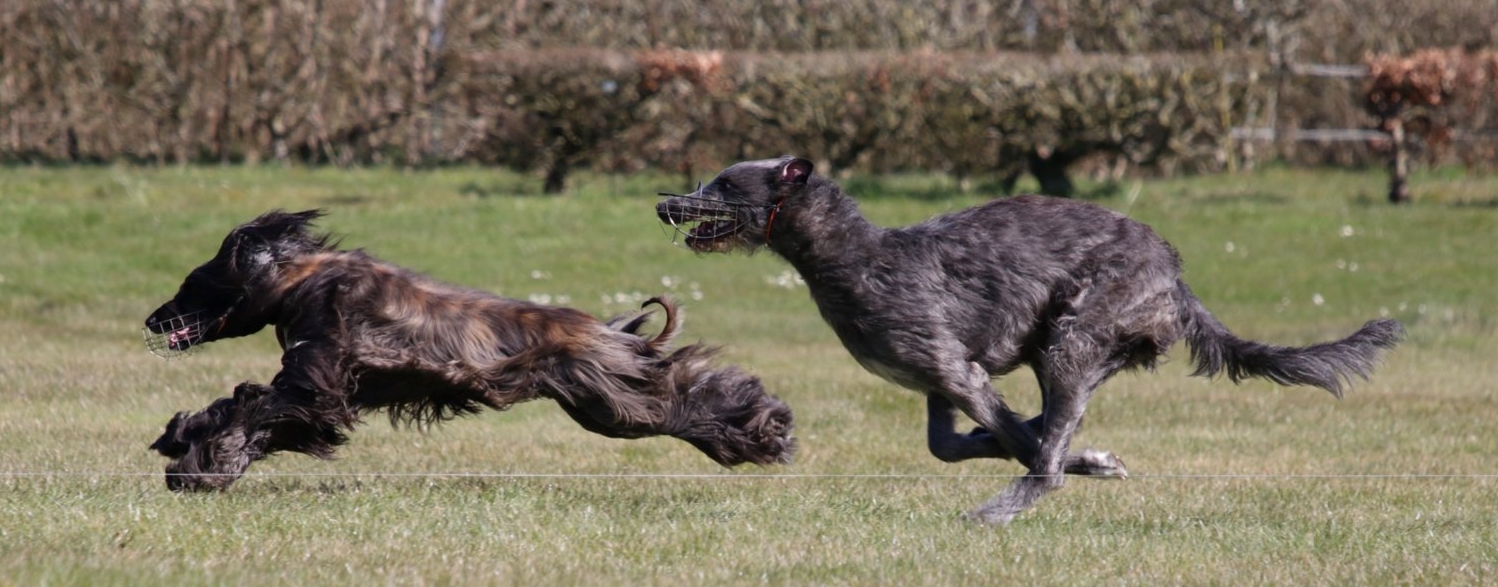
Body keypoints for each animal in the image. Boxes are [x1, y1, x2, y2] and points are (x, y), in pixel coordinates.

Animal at [144, 211, 790, 491]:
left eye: (191, 284)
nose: (152, 320)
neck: (300, 281)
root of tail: (606, 329)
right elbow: (250, 413)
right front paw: (191, 449)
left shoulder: (317, 382)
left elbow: (255, 405)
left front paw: (195, 462)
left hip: (609, 398)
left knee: (679, 400)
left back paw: (767, 428)